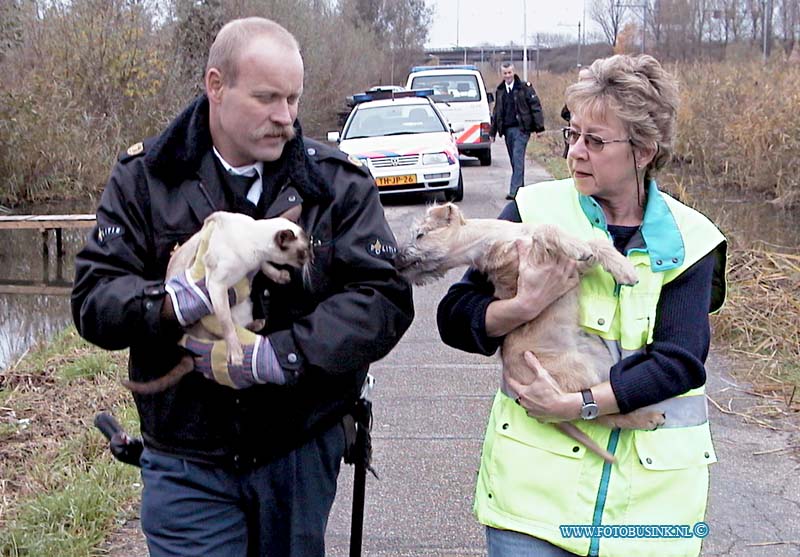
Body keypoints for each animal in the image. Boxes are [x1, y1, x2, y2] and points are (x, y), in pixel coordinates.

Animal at [123, 211, 310, 394]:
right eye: (305, 252)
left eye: (310, 248)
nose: (312, 258)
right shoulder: (216, 286)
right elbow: (227, 324)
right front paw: (236, 355)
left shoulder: (254, 265)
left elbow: (266, 266)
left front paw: (281, 276)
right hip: (209, 319)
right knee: (226, 329)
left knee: (244, 327)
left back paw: (257, 325)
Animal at [396, 203, 664, 460]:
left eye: (420, 234)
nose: (397, 260)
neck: (494, 240)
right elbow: (549, 229)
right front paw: (588, 251)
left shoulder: (575, 267)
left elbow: (591, 242)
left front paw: (621, 266)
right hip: (576, 372)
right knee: (598, 413)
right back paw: (648, 418)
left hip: (598, 360)